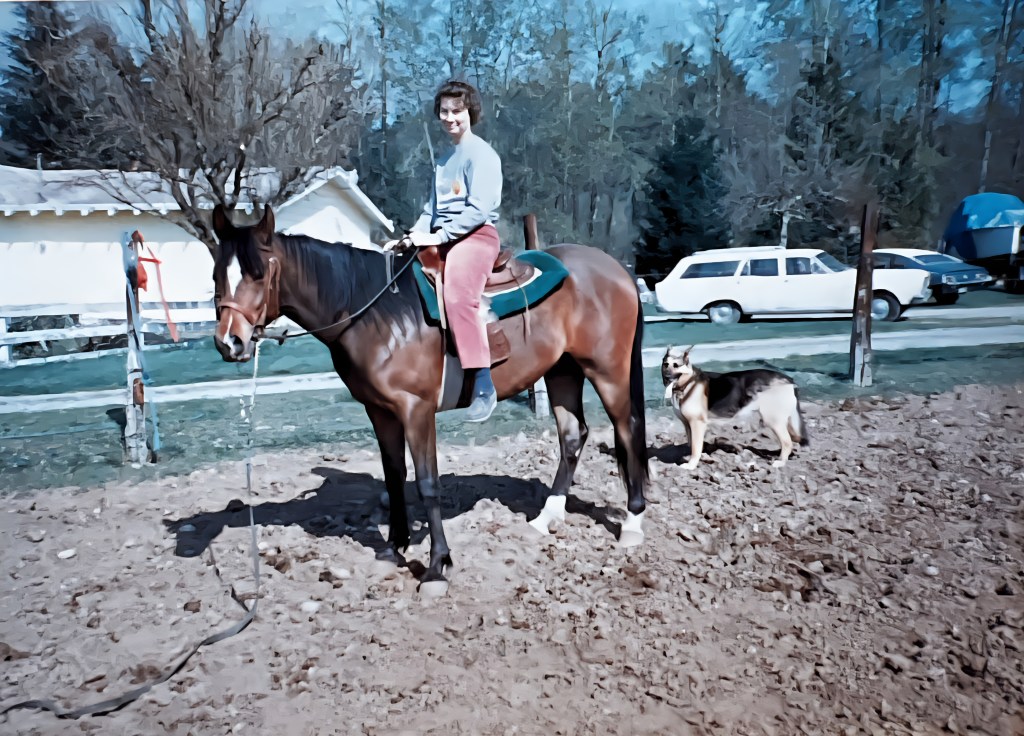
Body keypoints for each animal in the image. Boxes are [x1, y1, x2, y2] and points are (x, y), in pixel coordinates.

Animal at [210, 204, 648, 594]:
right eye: (217, 273)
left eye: (258, 273)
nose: (229, 342)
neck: (374, 311)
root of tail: (615, 269)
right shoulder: (380, 412)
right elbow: (394, 477)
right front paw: (392, 549)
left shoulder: (415, 409)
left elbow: (427, 483)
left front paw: (438, 566)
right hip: (562, 371)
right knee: (573, 435)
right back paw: (547, 517)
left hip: (607, 370)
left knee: (626, 430)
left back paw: (632, 522)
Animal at [661, 346, 808, 469]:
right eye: (666, 365)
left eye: (676, 365)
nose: (667, 376)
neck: (687, 383)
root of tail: (788, 380)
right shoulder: (688, 425)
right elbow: (693, 444)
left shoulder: (697, 424)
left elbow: (696, 447)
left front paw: (691, 465)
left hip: (773, 419)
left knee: (787, 442)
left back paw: (781, 461)